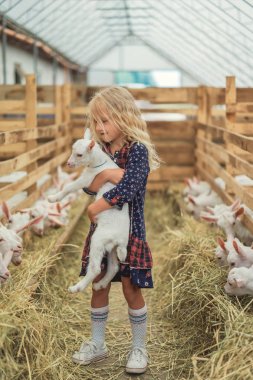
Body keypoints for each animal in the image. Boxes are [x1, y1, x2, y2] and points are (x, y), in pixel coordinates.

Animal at [48, 129, 129, 292]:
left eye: (79, 155)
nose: (68, 163)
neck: (99, 163)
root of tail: (121, 240)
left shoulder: (88, 179)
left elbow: (68, 187)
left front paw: (53, 198)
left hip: (98, 239)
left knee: (95, 269)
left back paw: (76, 288)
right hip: (111, 247)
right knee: (113, 267)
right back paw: (100, 285)